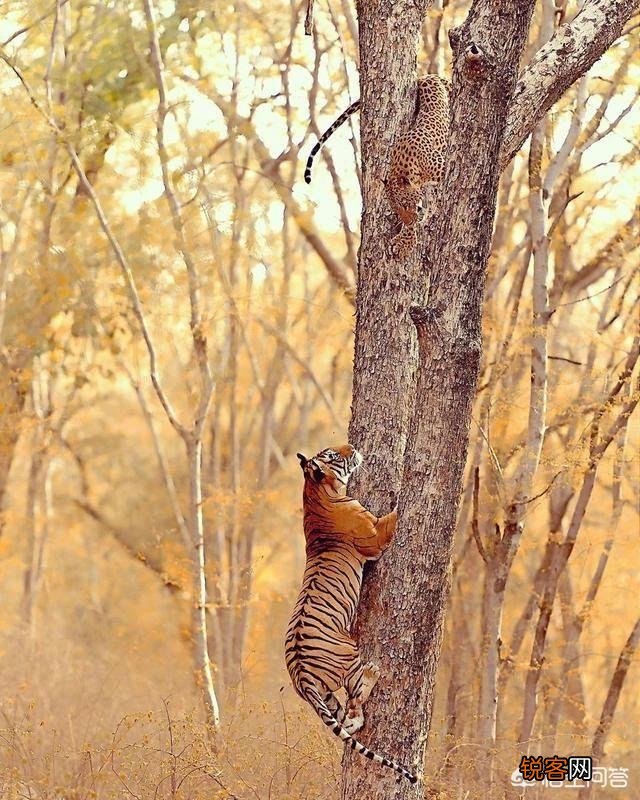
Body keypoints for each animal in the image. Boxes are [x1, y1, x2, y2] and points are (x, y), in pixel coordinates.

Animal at [284, 444, 417, 783]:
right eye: (332, 455)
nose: (353, 448)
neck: (315, 491)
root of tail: (301, 674)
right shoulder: (375, 535)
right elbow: (393, 516)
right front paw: (404, 493)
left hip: (323, 694)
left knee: (345, 719)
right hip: (349, 656)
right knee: (357, 701)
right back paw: (373, 672)